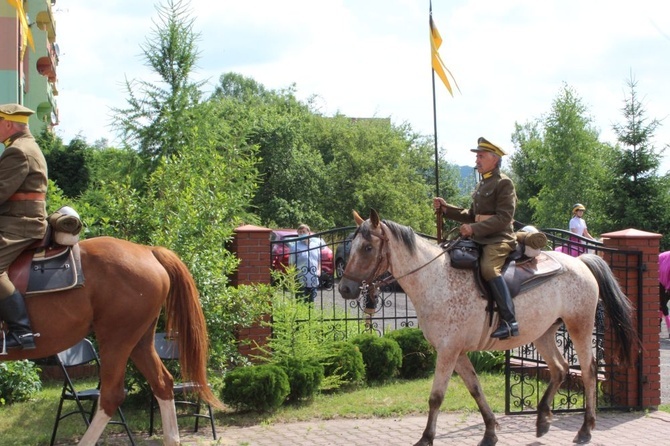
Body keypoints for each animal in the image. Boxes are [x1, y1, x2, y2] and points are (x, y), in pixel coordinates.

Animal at [342, 210, 640, 446]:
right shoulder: (456, 352)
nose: (345, 288)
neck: (436, 279)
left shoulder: (448, 351)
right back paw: (543, 419)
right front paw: (490, 432)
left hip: (579, 325)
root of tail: (581, 262)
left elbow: (436, 396)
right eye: (351, 246)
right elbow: (475, 388)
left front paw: (426, 438)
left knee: (588, 371)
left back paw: (585, 429)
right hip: (543, 333)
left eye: (367, 248)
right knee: (560, 368)